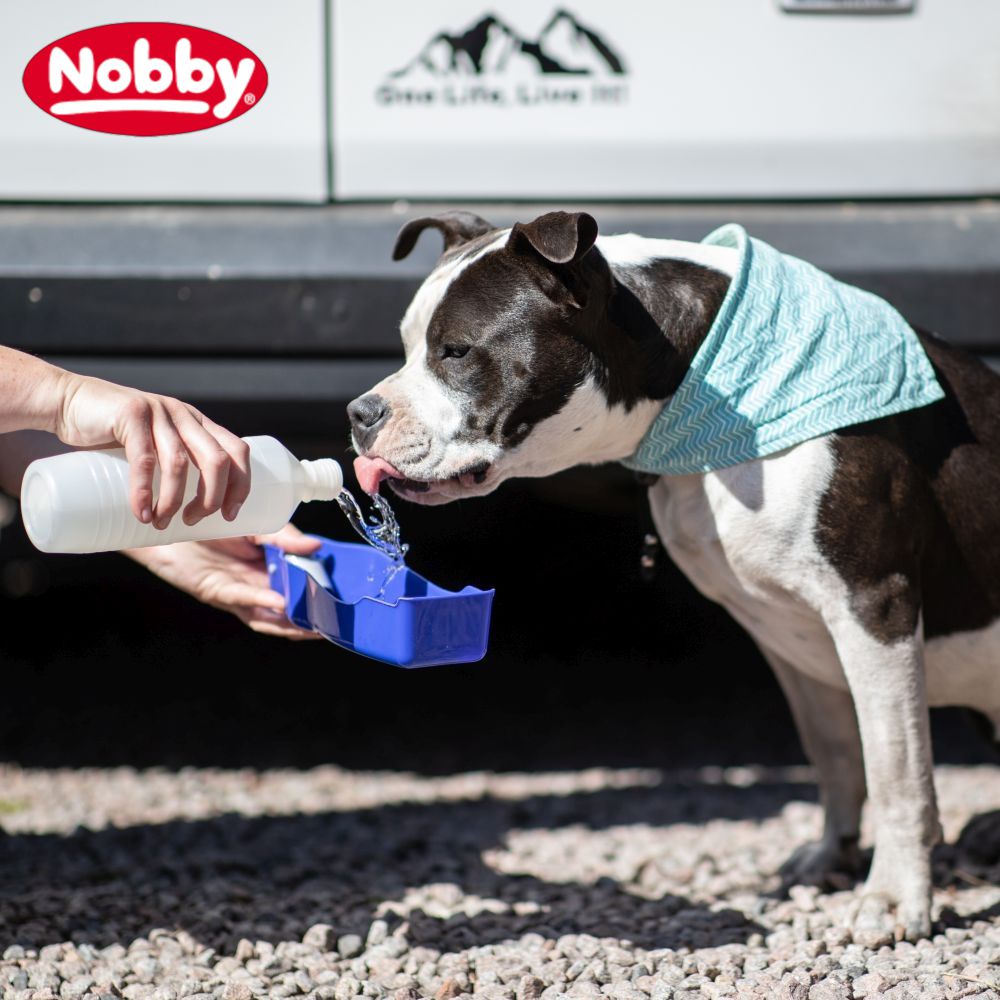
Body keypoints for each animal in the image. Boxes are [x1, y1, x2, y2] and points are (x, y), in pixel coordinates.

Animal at [350, 207, 1000, 940]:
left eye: (456, 352)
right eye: (407, 347)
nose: (359, 414)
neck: (702, 390)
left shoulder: (872, 607)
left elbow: (897, 767)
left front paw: (893, 896)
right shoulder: (793, 638)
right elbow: (835, 751)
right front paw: (831, 856)